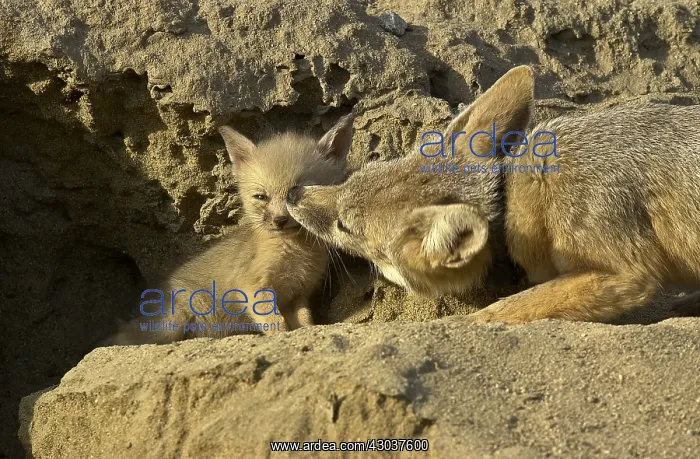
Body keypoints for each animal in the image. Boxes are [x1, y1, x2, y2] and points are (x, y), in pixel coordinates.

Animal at [104, 114, 353, 345]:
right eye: (261, 197)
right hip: (170, 324)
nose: (280, 220)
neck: (295, 253)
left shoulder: (296, 295)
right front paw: (280, 337)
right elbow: (276, 323)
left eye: (299, 193)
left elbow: (305, 322)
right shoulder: (255, 287)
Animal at [286, 65, 700, 324]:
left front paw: (471, 320)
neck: (515, 198)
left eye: (345, 227)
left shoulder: (626, 274)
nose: (292, 193)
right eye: (352, 178)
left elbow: (512, 307)